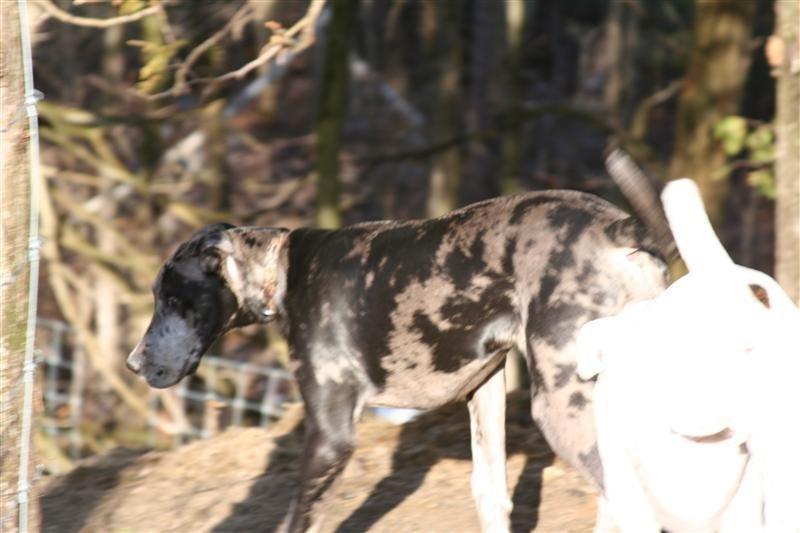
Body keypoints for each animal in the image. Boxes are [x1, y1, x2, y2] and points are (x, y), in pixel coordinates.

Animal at [127, 190, 669, 532]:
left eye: (171, 299)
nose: (133, 363)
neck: (282, 269)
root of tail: (618, 229)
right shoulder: (485, 394)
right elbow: (491, 497)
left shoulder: (329, 437)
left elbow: (300, 521)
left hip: (561, 408)